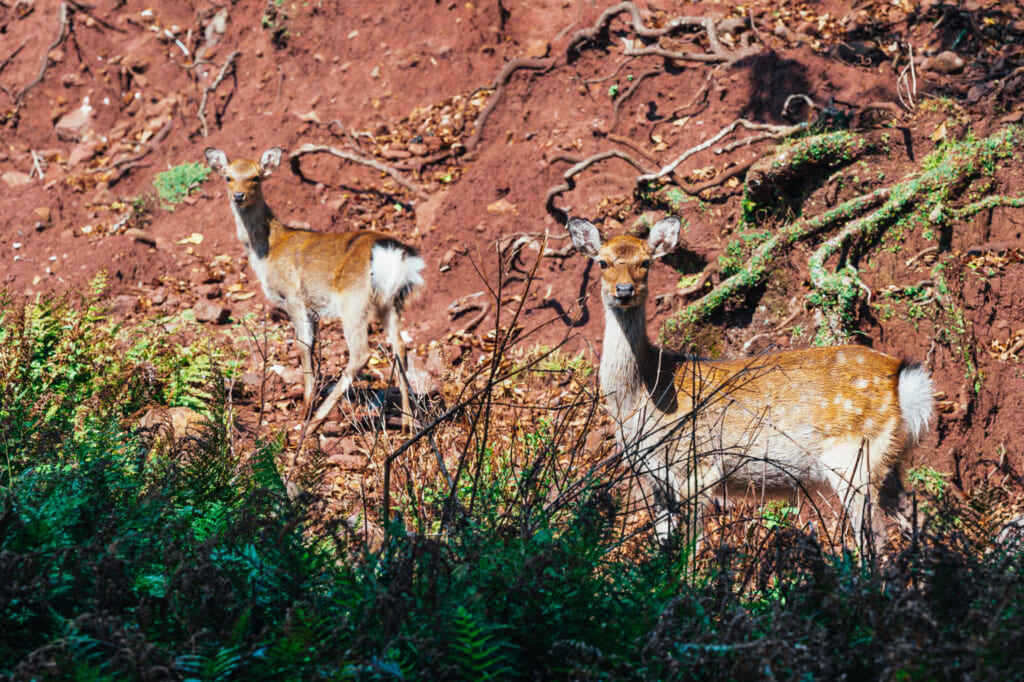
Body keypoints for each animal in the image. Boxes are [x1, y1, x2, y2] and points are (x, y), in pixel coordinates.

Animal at [205, 147, 425, 431]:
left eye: (256, 177)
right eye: (228, 177)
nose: (238, 196)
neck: (266, 252)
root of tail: (395, 256)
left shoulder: (292, 294)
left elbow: (302, 345)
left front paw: (304, 408)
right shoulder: (314, 308)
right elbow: (313, 346)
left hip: (354, 300)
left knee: (361, 353)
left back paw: (316, 422)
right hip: (393, 301)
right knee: (400, 346)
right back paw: (408, 421)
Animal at [567, 215, 935, 550]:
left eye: (646, 261)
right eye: (602, 262)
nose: (624, 290)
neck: (643, 395)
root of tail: (904, 384)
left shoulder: (697, 466)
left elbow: (692, 548)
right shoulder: (654, 477)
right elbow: (662, 546)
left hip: (854, 461)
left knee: (876, 537)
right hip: (889, 462)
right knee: (915, 517)